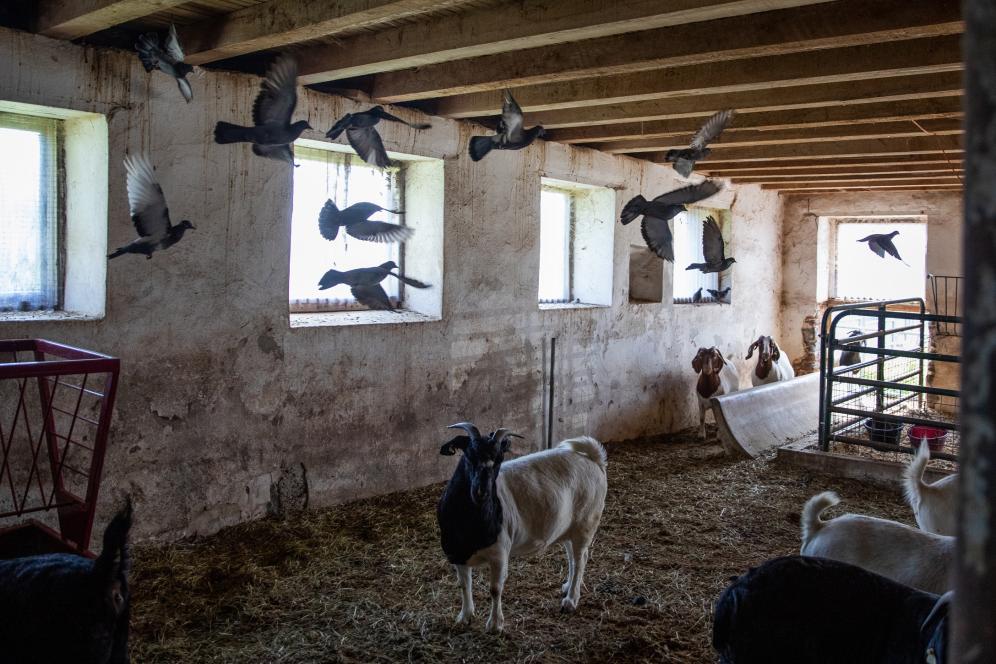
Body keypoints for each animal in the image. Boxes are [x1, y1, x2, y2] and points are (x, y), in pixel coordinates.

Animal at [436, 422, 608, 636]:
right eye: (468, 456)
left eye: (499, 459)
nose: (482, 491)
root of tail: (593, 457)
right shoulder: (457, 553)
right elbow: (464, 585)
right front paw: (465, 616)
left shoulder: (499, 553)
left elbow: (495, 589)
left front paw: (495, 624)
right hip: (568, 528)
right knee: (574, 558)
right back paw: (568, 586)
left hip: (586, 524)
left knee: (580, 559)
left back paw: (570, 600)